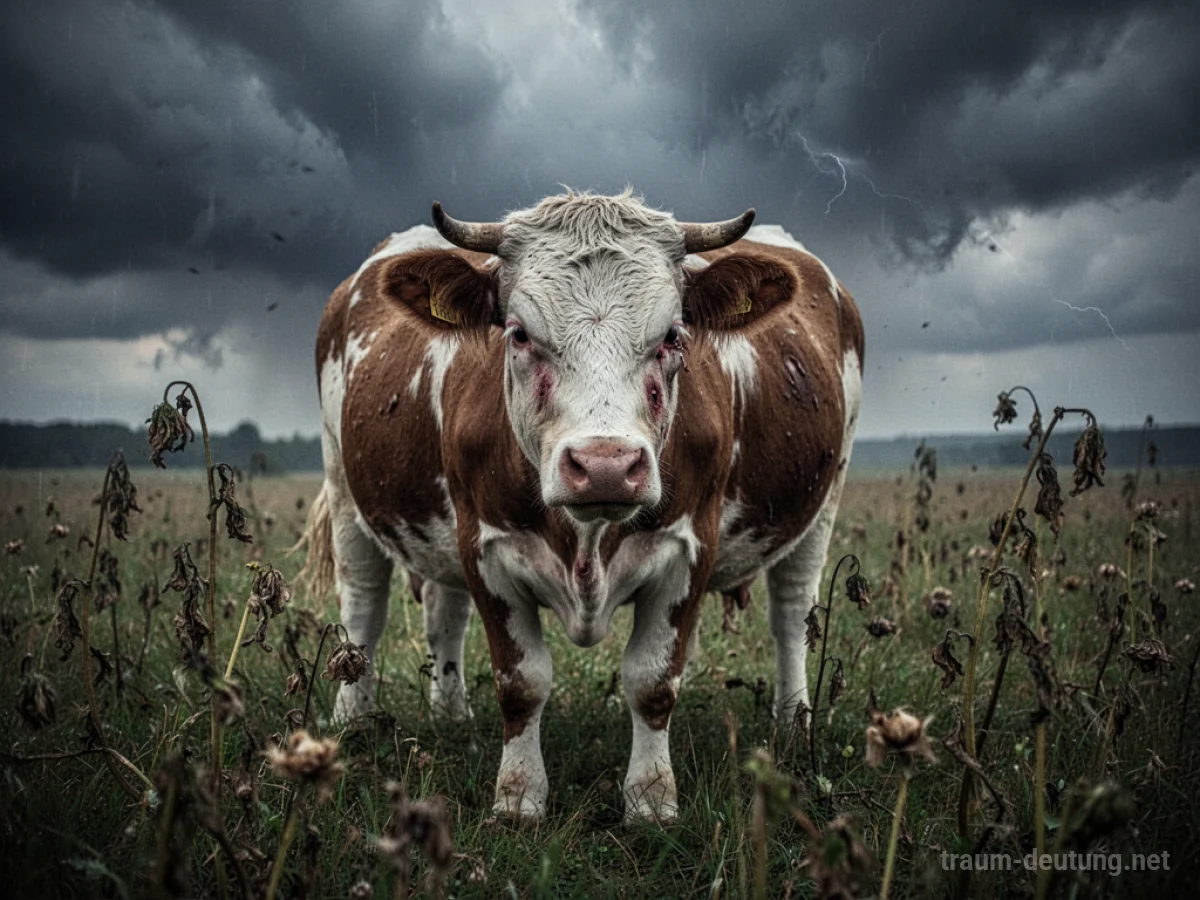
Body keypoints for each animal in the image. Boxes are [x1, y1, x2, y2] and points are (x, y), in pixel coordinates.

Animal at [304, 190, 863, 823]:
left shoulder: (689, 547)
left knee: (792, 612)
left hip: (824, 500)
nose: (605, 465)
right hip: (345, 485)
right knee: (367, 605)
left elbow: (653, 681)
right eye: (519, 333)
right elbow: (521, 682)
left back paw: (794, 724)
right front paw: (518, 796)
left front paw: (651, 800)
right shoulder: (485, 546)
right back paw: (358, 722)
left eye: (673, 334)